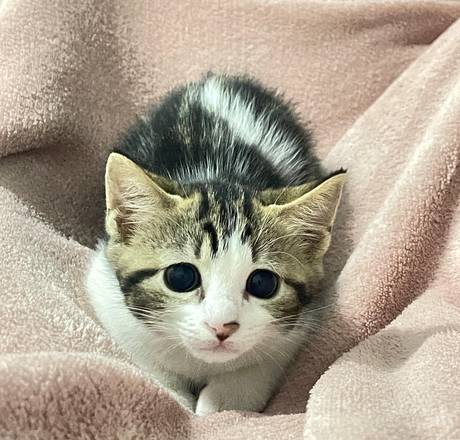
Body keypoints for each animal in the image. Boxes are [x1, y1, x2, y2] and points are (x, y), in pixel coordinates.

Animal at [86, 73, 345, 415]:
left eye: (263, 283)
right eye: (180, 277)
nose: (222, 327)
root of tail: (218, 80)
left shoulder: (299, 326)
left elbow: (261, 364)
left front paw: (221, 401)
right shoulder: (105, 292)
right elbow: (145, 357)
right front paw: (172, 395)